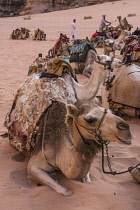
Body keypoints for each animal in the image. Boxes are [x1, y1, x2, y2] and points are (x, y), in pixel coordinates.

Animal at [4, 55, 133, 196]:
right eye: (106, 60)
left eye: (110, 111)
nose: (121, 62)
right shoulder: (33, 166)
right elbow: (65, 191)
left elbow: (87, 181)